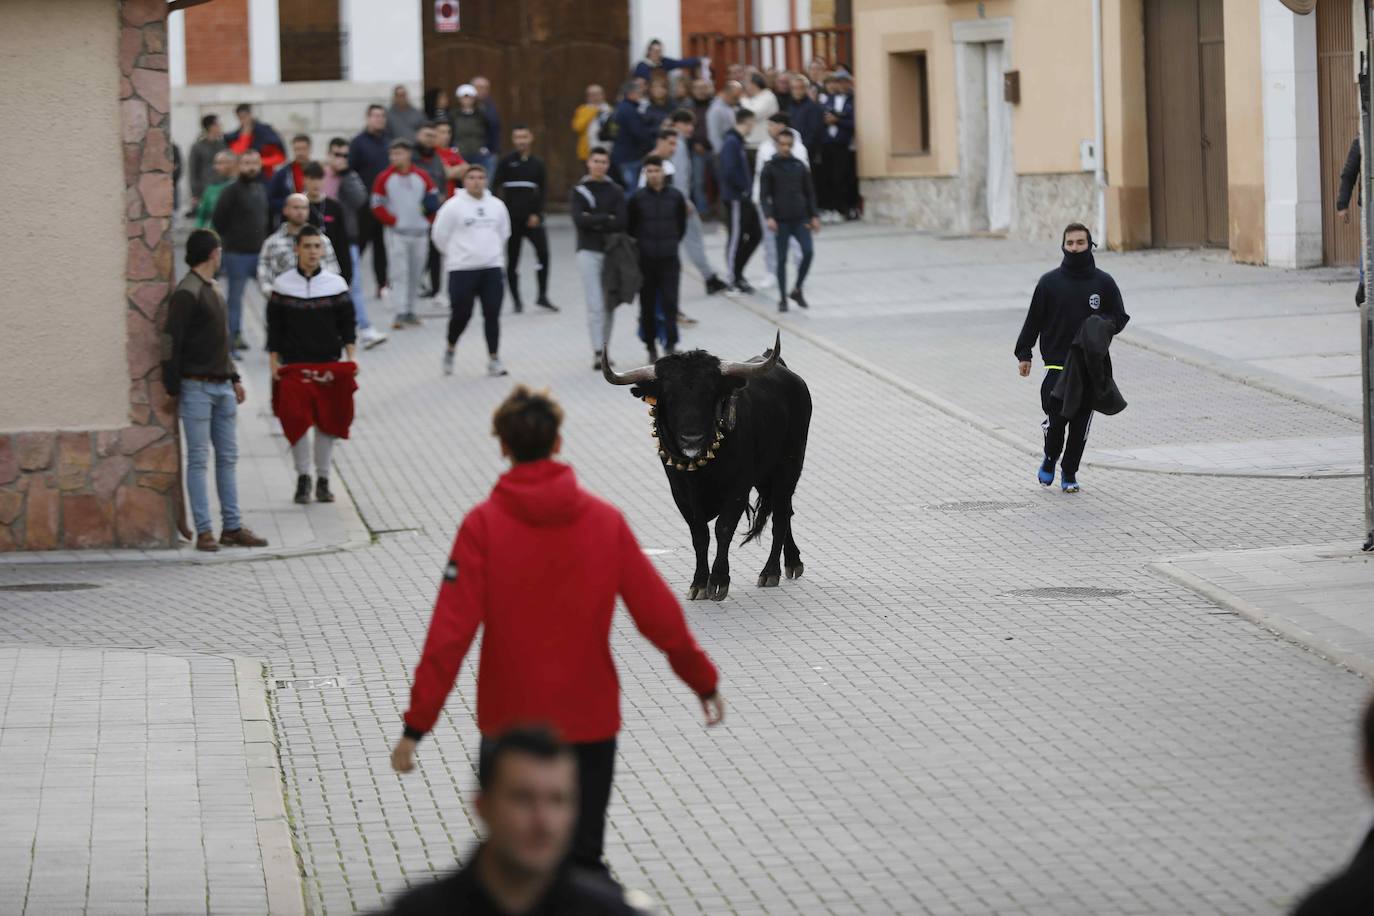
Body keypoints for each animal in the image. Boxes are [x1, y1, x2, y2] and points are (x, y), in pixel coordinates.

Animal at [604, 330, 813, 601]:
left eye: (710, 392)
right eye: (669, 395)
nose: (691, 438)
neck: (702, 470)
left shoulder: (738, 487)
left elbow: (723, 528)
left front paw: (719, 580)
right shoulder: (681, 493)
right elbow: (699, 534)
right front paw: (699, 583)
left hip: (788, 468)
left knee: (780, 514)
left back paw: (771, 571)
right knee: (785, 512)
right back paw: (792, 561)